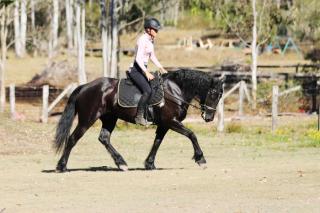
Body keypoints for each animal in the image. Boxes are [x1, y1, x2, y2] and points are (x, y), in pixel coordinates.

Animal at [54, 69, 222, 172]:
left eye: (220, 95)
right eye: (213, 94)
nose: (209, 118)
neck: (174, 91)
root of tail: (84, 87)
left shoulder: (164, 125)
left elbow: (157, 142)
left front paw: (150, 164)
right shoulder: (171, 121)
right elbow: (191, 135)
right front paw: (201, 159)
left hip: (110, 118)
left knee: (104, 138)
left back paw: (121, 163)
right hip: (87, 119)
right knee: (73, 138)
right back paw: (61, 166)